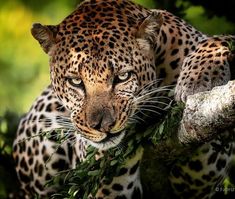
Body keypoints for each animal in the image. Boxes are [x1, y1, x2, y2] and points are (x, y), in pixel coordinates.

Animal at [12, 0, 235, 198]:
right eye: (75, 81)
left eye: (122, 77)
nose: (102, 126)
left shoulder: (206, 170)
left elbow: (220, 39)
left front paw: (197, 80)